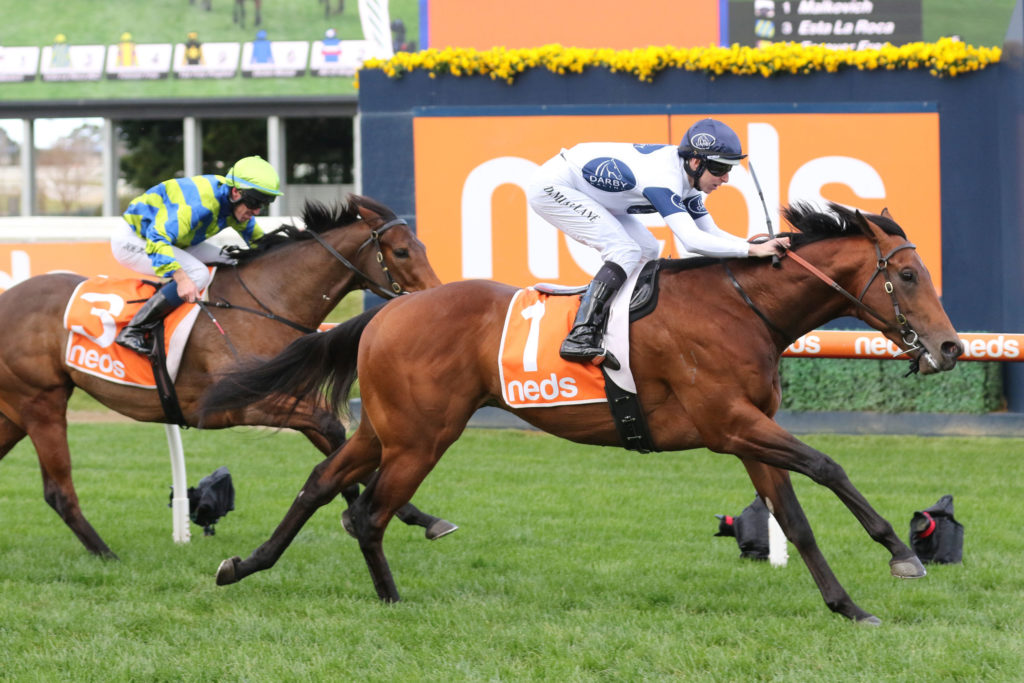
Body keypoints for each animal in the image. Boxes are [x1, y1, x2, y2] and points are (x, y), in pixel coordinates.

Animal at [0, 194, 454, 559]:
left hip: (15, 412)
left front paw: (419, 516)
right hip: (40, 402)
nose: (436, 297)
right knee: (59, 491)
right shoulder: (237, 405)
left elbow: (335, 440)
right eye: (401, 251)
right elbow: (331, 430)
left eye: (421, 247)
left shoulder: (287, 397)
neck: (266, 305)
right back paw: (105, 554)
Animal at [200, 202, 964, 624]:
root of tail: (387, 312)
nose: (952, 346)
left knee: (322, 484)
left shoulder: (750, 434)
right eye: (905, 275)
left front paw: (849, 606)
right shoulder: (731, 423)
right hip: (420, 437)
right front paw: (903, 553)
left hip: (385, 428)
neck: (741, 307)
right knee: (367, 513)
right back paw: (387, 598)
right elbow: (828, 465)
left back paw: (243, 565)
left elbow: (796, 521)